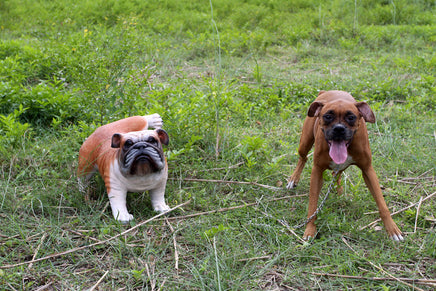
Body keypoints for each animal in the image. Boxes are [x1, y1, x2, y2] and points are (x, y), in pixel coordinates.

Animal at [288, 90, 404, 242]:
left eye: (351, 117)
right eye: (328, 116)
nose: (339, 128)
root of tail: (325, 91)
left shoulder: (368, 170)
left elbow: (382, 203)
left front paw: (392, 229)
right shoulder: (317, 172)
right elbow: (312, 205)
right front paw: (310, 230)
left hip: (341, 165)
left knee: (336, 173)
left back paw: (340, 192)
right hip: (304, 143)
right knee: (303, 158)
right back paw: (293, 179)